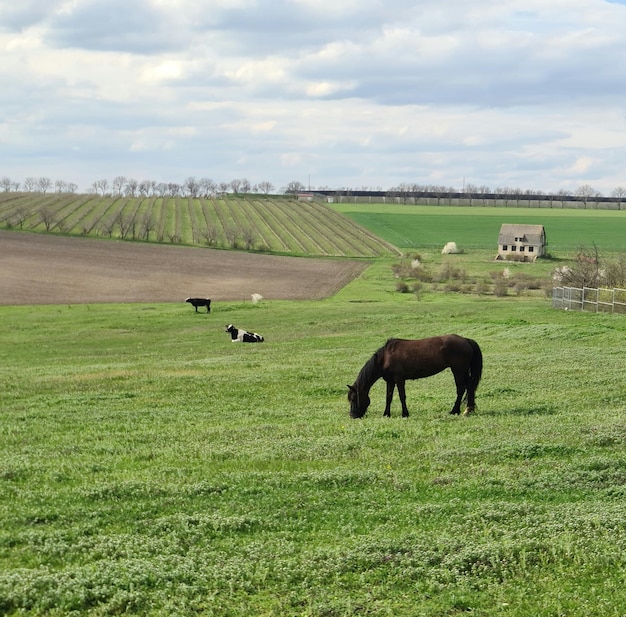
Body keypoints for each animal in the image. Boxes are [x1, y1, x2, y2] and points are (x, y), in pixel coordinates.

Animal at [346, 334, 482, 416]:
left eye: (353, 398)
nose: (353, 415)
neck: (385, 357)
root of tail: (466, 340)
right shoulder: (390, 380)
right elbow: (389, 397)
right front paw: (386, 414)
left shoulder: (399, 379)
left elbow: (402, 396)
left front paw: (405, 413)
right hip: (463, 370)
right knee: (469, 387)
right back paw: (468, 410)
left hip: (458, 370)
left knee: (461, 388)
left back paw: (454, 410)